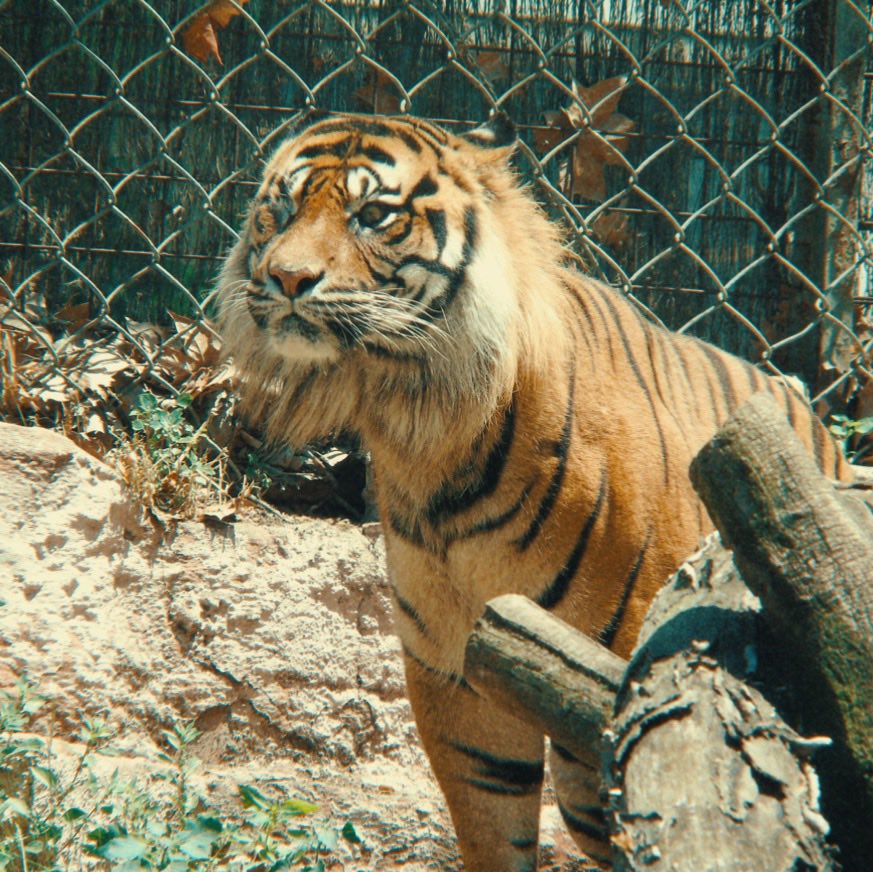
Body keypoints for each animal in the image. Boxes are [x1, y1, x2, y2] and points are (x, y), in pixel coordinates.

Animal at [215, 112, 848, 868]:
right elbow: (492, 819)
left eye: (372, 216)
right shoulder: (456, 668)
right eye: (279, 211)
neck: (426, 430)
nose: (287, 277)